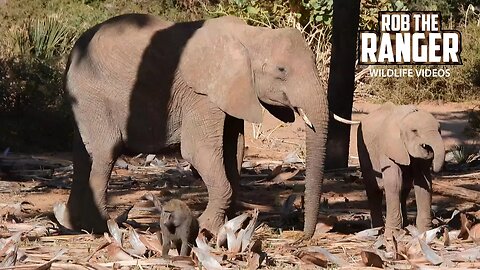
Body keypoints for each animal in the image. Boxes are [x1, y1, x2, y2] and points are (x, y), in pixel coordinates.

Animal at [60, 13, 328, 237]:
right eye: (282, 70)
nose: (303, 236)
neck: (251, 36)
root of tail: (73, 52)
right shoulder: (201, 94)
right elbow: (198, 152)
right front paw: (206, 228)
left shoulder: (230, 93)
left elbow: (234, 149)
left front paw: (227, 226)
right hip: (93, 94)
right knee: (106, 152)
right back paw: (102, 228)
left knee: (83, 155)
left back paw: (74, 225)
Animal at [358, 102, 444, 237]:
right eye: (414, 131)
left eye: (439, 130)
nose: (430, 151)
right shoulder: (389, 147)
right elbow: (394, 183)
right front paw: (392, 234)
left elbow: (423, 184)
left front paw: (425, 232)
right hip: (364, 149)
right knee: (373, 188)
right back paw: (377, 230)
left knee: (405, 189)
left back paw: (405, 226)